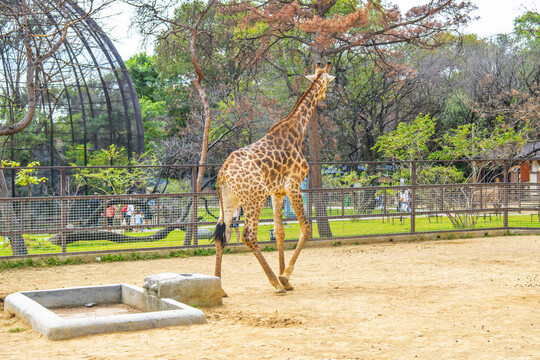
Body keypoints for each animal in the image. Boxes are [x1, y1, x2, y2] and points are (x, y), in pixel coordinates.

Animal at [211, 61, 334, 292]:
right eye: (327, 82)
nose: (323, 97)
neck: (297, 132)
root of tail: (222, 174)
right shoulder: (294, 185)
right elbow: (306, 227)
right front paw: (284, 277)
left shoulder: (278, 192)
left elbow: (279, 232)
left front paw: (287, 278)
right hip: (255, 197)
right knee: (248, 235)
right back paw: (274, 283)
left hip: (230, 201)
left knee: (223, 235)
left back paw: (219, 288)